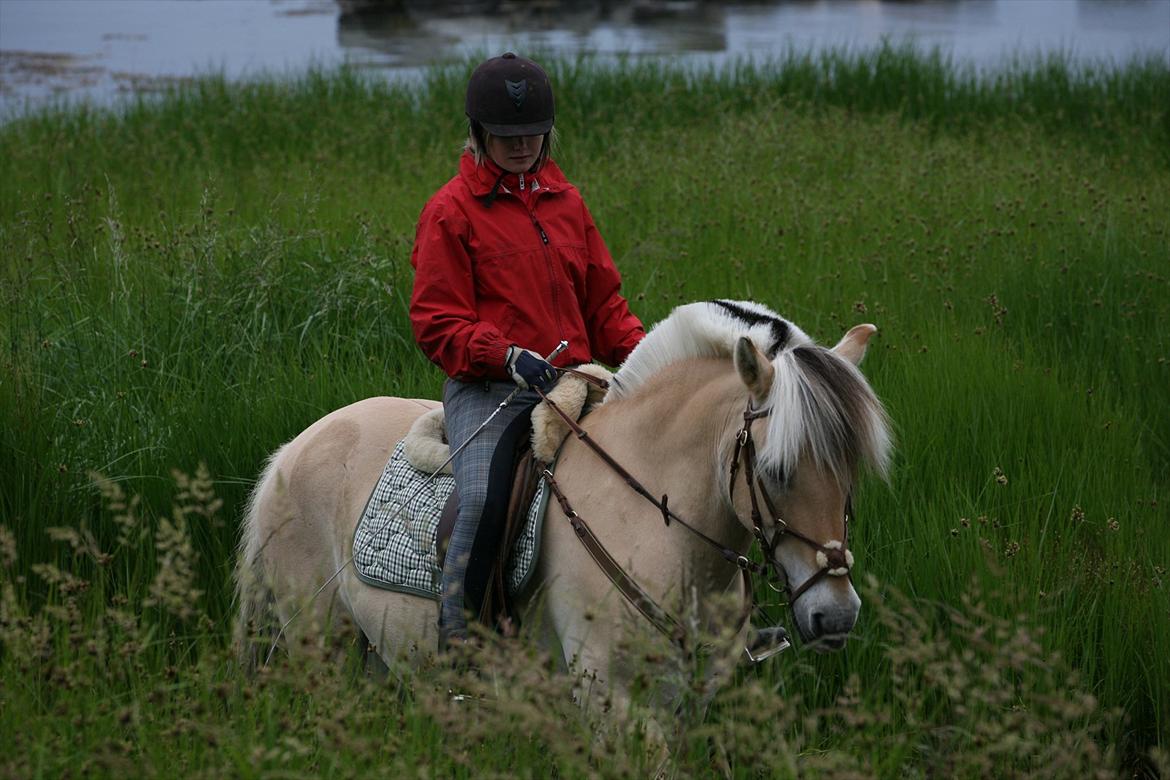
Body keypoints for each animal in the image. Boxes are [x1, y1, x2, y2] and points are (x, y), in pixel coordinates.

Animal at [232, 301, 889, 715]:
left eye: (849, 473)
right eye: (776, 471)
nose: (836, 616)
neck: (653, 517)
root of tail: (293, 450)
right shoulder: (613, 701)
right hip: (320, 641)